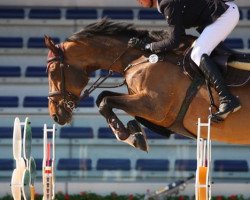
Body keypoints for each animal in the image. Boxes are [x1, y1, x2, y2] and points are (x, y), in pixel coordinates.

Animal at [45, 19, 250, 152]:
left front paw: (128, 135)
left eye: (52, 71)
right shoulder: (142, 101)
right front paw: (132, 132)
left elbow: (105, 101)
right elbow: (103, 98)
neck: (141, 58)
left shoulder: (154, 106)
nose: (55, 115)